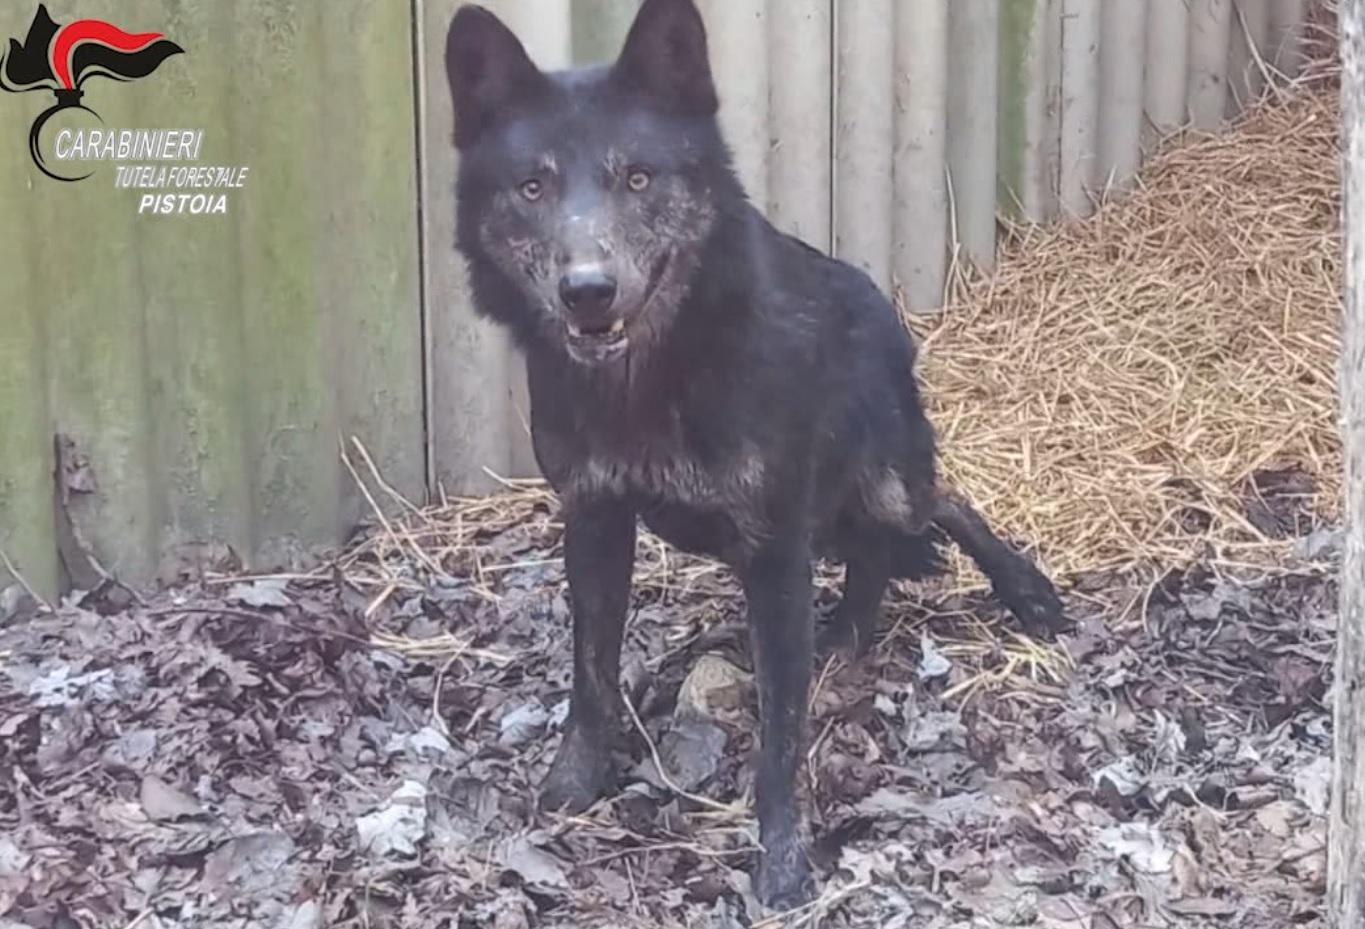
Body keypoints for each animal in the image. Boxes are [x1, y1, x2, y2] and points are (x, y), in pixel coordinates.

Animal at [444, 0, 1069, 908]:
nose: (587, 291)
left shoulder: (775, 548)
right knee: (873, 551)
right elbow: (590, 674)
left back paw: (1019, 591)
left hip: (877, 482)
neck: (646, 385)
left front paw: (781, 858)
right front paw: (574, 782)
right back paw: (845, 630)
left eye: (638, 178)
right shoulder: (594, 519)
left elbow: (780, 734)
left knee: (939, 503)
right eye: (533, 187)